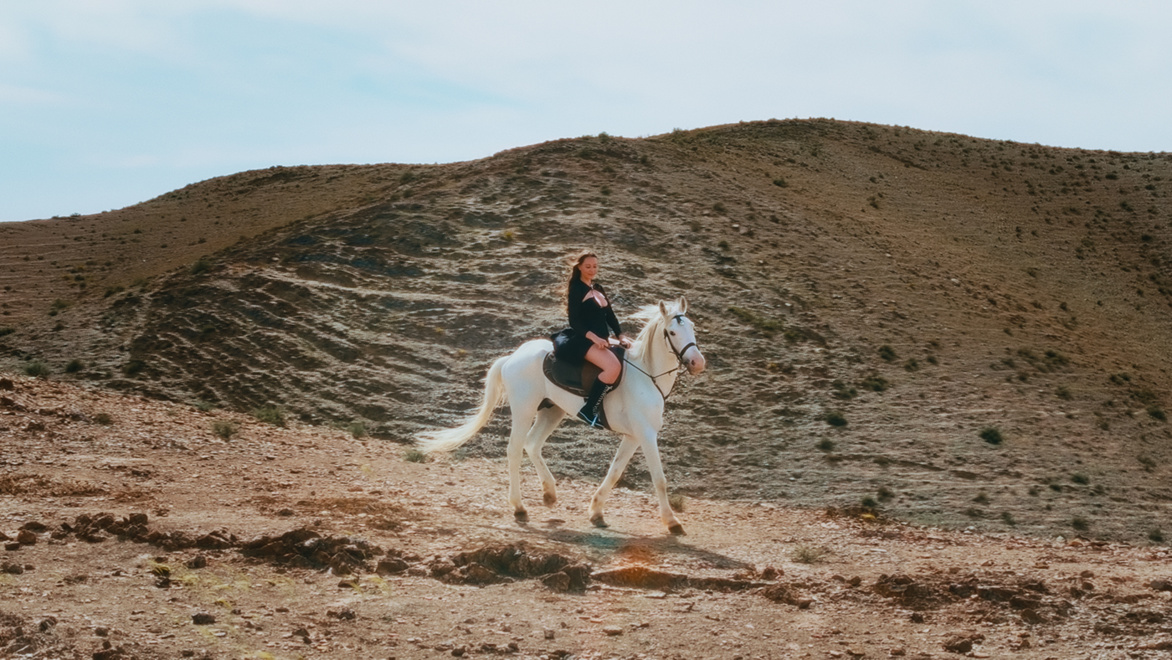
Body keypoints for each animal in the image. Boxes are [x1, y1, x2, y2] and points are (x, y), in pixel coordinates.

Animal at [417, 300, 703, 536]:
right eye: (672, 332)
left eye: (692, 328)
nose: (697, 363)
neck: (647, 374)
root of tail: (513, 357)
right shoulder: (646, 434)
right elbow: (659, 479)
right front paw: (672, 523)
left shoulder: (633, 437)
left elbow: (614, 472)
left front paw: (596, 512)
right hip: (524, 409)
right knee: (515, 450)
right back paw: (519, 507)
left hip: (552, 411)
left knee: (532, 443)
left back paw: (549, 494)